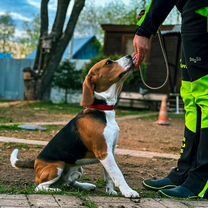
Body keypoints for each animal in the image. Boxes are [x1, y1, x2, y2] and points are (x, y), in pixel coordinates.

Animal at [9, 55, 140, 198]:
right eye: (109, 62)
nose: (130, 56)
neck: (102, 109)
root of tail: (35, 162)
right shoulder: (104, 152)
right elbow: (117, 173)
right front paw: (128, 191)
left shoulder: (111, 150)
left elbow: (109, 175)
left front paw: (110, 191)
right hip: (58, 166)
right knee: (40, 187)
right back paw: (55, 190)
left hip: (78, 169)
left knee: (68, 182)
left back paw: (85, 186)